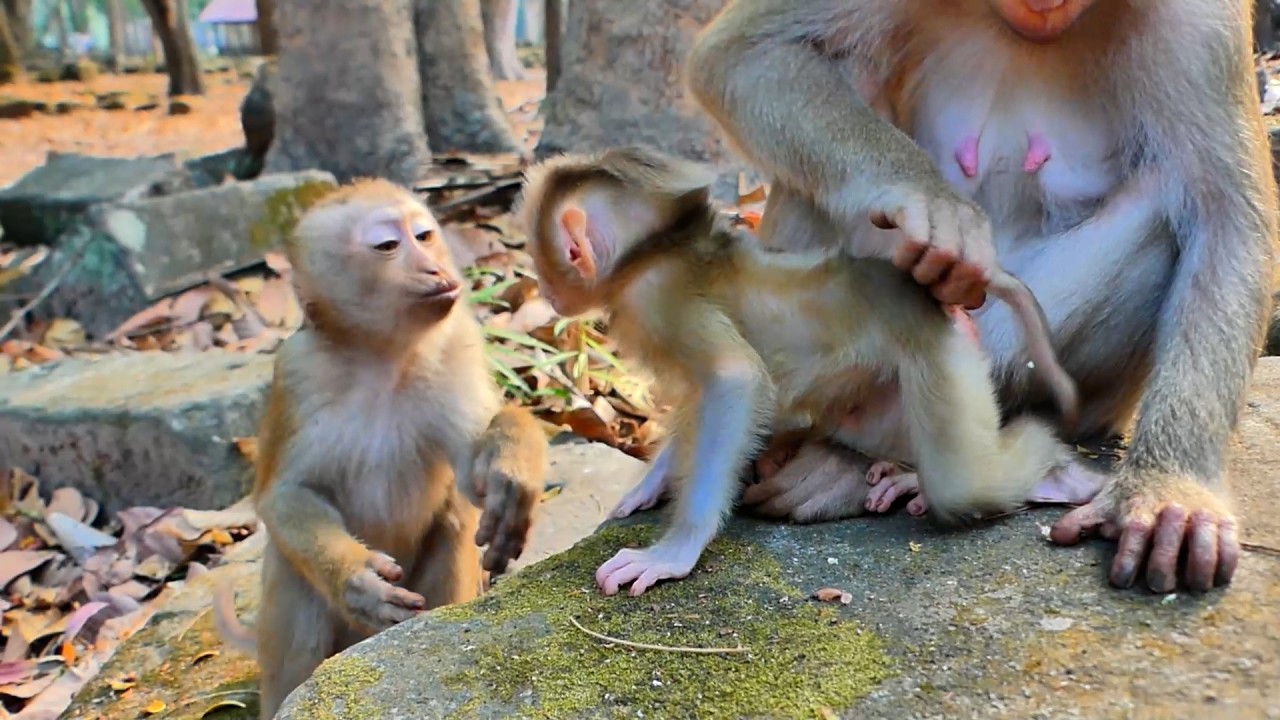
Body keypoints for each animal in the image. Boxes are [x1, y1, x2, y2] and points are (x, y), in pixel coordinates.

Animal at [210, 178, 547, 719]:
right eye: (389, 246)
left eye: (424, 236)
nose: (436, 268)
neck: (381, 355)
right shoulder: (296, 374)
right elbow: (285, 495)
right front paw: (356, 579)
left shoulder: (456, 344)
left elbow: (475, 474)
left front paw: (512, 468)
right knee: (289, 566)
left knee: (454, 517)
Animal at [514, 146, 1105, 597]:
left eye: (546, 260)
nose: (542, 290)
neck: (654, 252)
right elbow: (702, 399)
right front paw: (650, 483)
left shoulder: (664, 300)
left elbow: (733, 379)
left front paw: (675, 551)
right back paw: (906, 474)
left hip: (941, 353)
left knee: (964, 486)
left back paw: (1061, 476)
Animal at [683, 0, 1278, 594]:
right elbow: (745, 54)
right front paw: (927, 201)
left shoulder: (1199, 21)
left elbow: (1225, 216)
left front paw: (1170, 491)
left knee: (1161, 207)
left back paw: (887, 455)